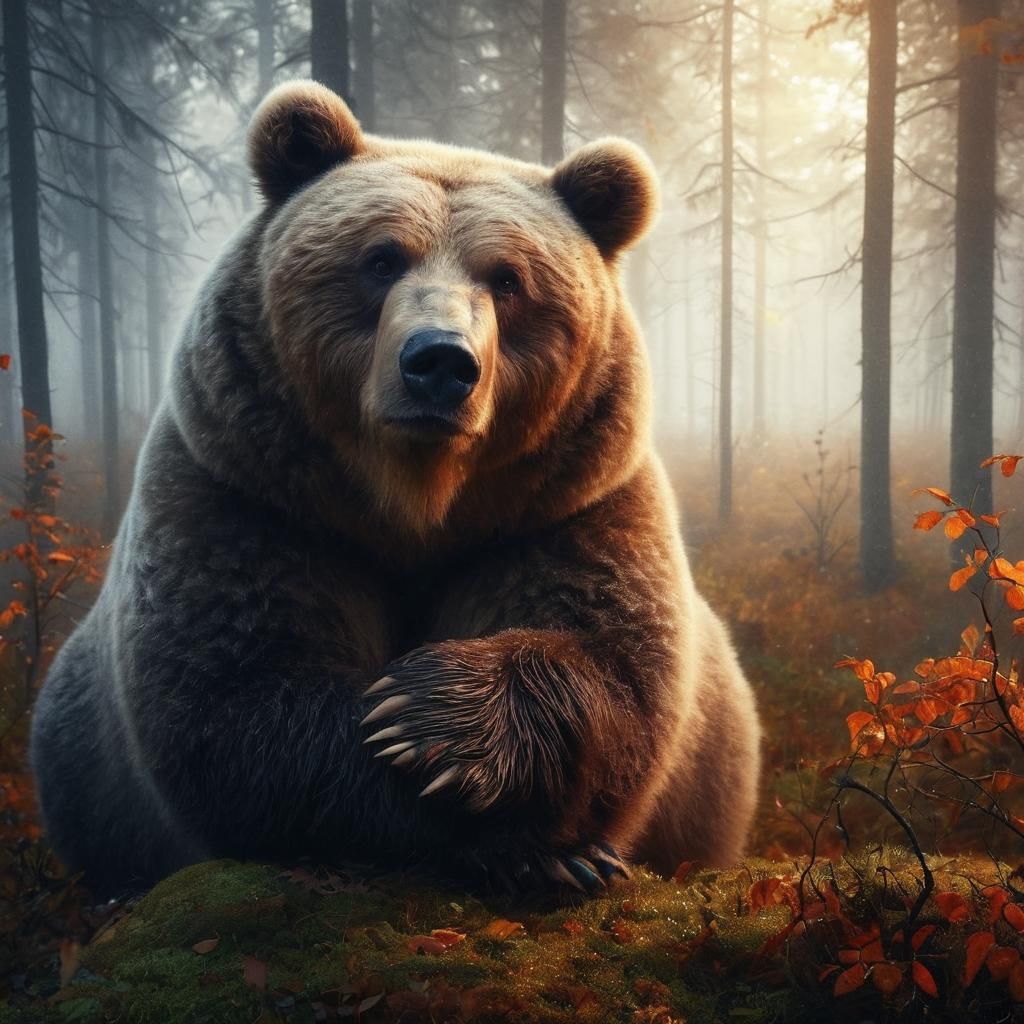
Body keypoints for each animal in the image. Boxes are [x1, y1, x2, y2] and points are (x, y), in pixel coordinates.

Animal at [30, 80, 761, 899]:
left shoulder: (567, 507)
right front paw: (494, 820)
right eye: (381, 259)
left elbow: (618, 671)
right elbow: (237, 700)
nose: (439, 361)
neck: (416, 505)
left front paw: (449, 731)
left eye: (508, 279)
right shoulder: (248, 496)